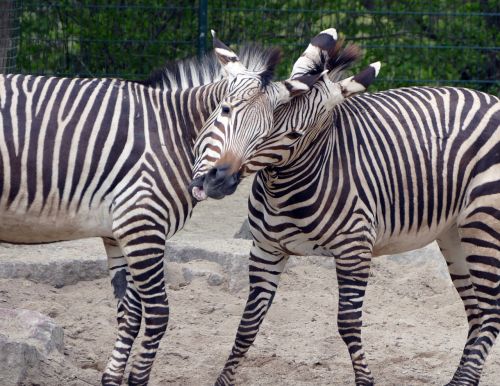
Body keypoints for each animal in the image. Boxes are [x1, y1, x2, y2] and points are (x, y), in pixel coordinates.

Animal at [0, 34, 320, 386]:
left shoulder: (119, 232)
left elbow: (130, 313)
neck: (175, 132)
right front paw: (136, 378)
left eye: (265, 134)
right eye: (224, 110)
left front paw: (111, 378)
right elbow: (157, 314)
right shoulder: (142, 224)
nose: (219, 180)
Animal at [192, 29, 500, 386]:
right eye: (225, 111)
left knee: (491, 312)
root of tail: (490, 100)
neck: (282, 190)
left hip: (484, 224)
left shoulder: (355, 248)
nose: (217, 179)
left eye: (292, 133)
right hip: (455, 233)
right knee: (477, 311)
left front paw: (365, 380)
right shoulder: (266, 249)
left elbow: (348, 324)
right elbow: (247, 324)